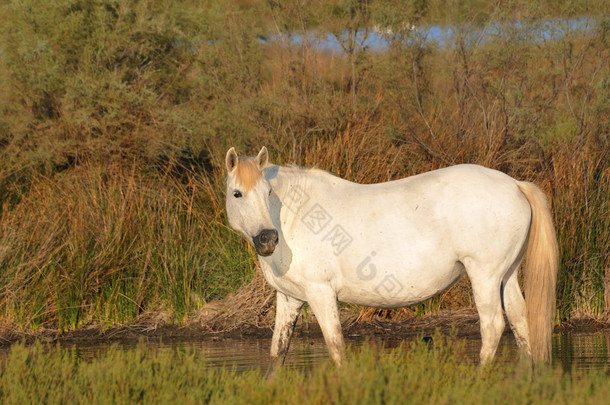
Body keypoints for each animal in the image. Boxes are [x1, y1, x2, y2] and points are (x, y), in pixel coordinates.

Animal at [223, 148, 556, 370]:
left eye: (268, 192)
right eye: (237, 193)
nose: (267, 239)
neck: (294, 218)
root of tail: (515, 185)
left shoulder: (320, 293)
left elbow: (336, 347)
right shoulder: (290, 299)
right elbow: (277, 352)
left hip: (484, 276)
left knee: (493, 326)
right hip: (506, 275)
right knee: (520, 321)